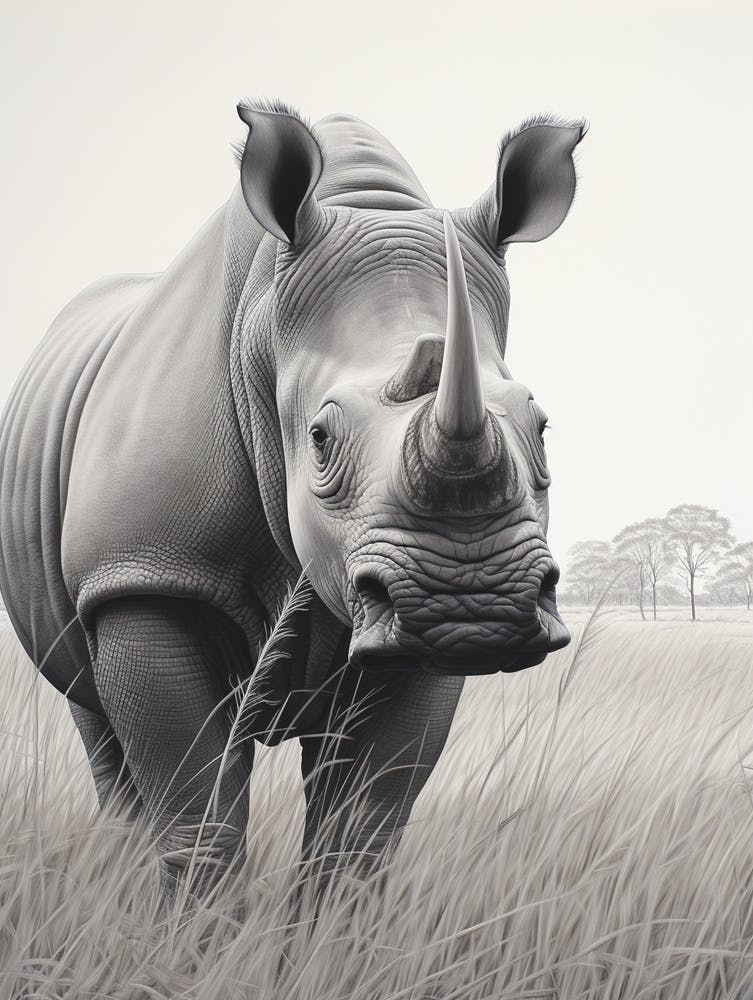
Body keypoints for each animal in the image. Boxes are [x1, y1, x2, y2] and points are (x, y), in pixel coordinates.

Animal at [0, 101, 584, 900]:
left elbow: (360, 832)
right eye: (318, 437)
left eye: (542, 427)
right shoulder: (143, 573)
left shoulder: (407, 636)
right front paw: (193, 934)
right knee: (94, 720)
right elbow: (200, 822)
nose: (471, 605)